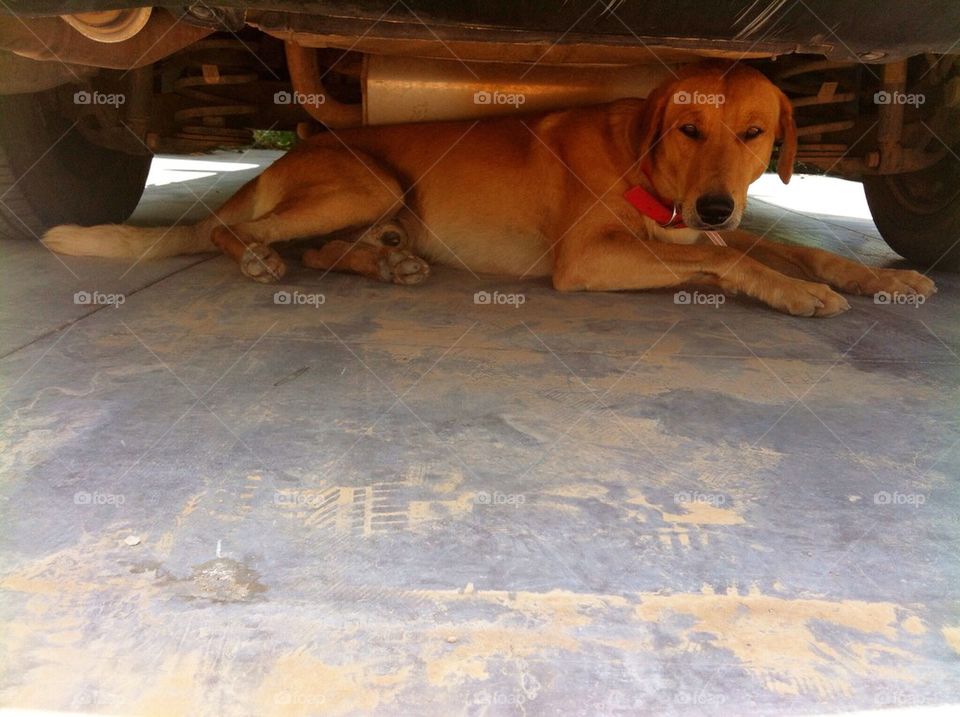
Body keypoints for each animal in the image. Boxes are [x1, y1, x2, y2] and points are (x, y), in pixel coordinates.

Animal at [43, 60, 928, 318]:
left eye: (753, 133)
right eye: (687, 128)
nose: (716, 203)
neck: (645, 171)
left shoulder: (704, 227)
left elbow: (785, 245)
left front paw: (879, 277)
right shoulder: (587, 261)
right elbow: (736, 261)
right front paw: (795, 292)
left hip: (373, 203)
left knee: (325, 250)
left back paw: (387, 261)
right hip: (364, 180)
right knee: (247, 235)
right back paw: (261, 257)